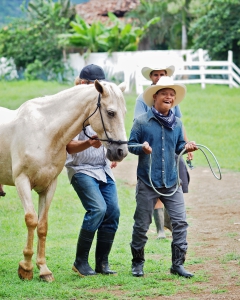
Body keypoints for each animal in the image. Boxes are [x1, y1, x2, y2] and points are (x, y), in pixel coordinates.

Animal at [0, 79, 127, 282]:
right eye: (110, 112)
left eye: (124, 113)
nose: (121, 152)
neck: (44, 131)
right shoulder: (22, 181)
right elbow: (31, 220)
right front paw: (26, 268)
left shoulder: (49, 185)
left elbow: (42, 225)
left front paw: (43, 270)